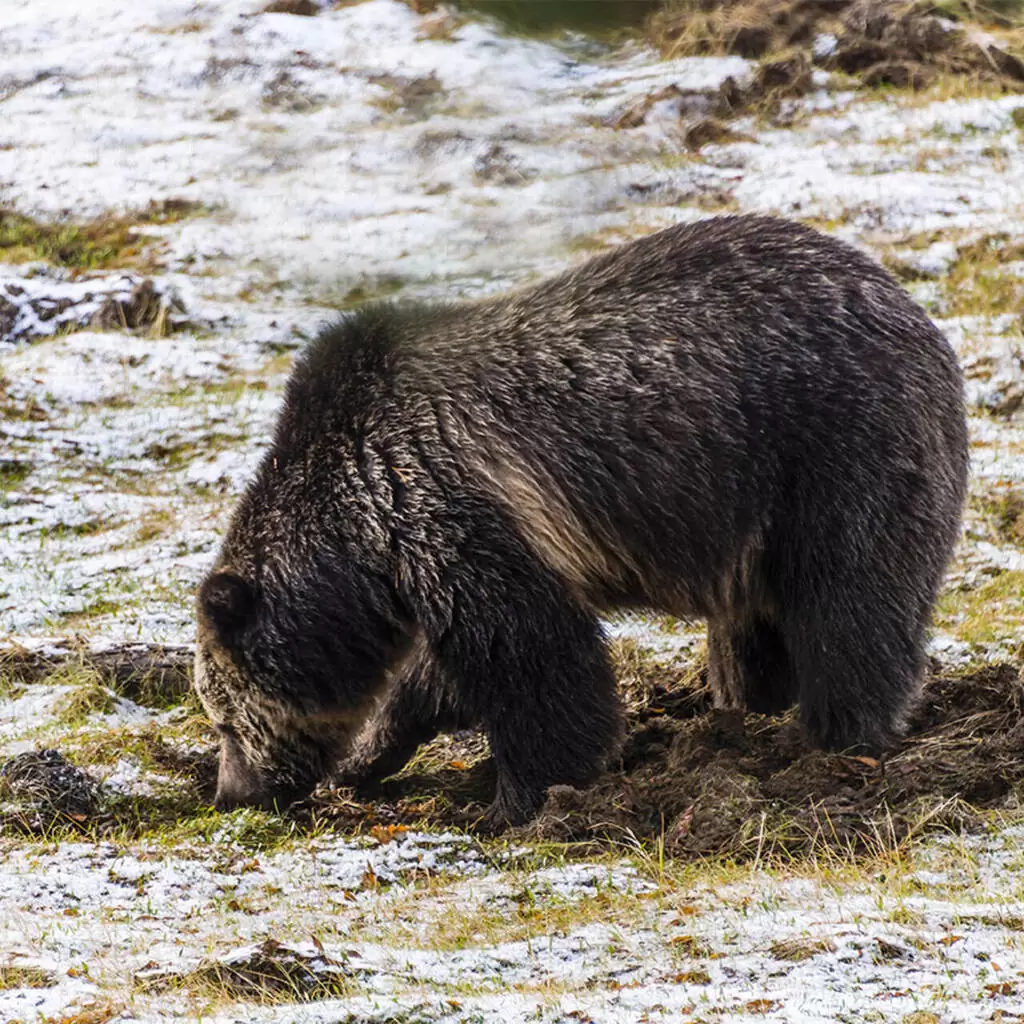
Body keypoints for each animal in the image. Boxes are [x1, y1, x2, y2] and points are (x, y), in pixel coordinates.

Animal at [192, 211, 966, 827]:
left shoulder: (452, 502)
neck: (359, 537)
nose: (233, 793)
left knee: (850, 601)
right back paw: (749, 710)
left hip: (834, 450)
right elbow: (439, 675)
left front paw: (523, 798)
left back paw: (833, 742)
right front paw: (371, 754)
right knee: (755, 625)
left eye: (225, 716)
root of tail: (913, 310)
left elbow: (534, 660)